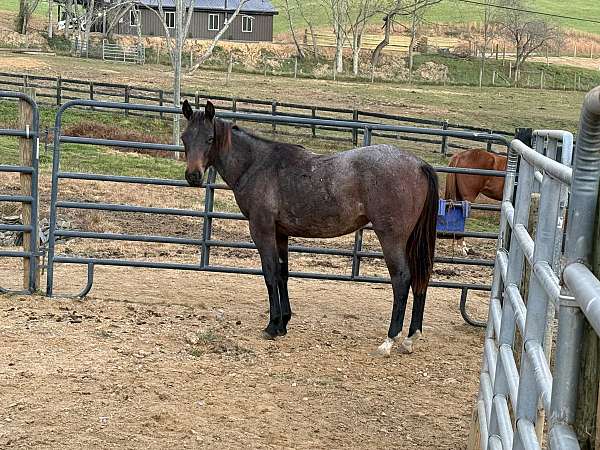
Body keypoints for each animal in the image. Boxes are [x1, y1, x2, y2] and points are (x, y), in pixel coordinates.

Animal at [180, 101, 438, 356]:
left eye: (210, 139)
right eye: (184, 137)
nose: (193, 176)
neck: (257, 165)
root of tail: (419, 164)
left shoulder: (262, 230)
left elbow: (270, 273)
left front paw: (272, 326)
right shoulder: (280, 233)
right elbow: (282, 274)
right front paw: (283, 323)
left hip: (392, 237)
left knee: (401, 278)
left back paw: (390, 340)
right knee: (419, 277)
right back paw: (411, 338)